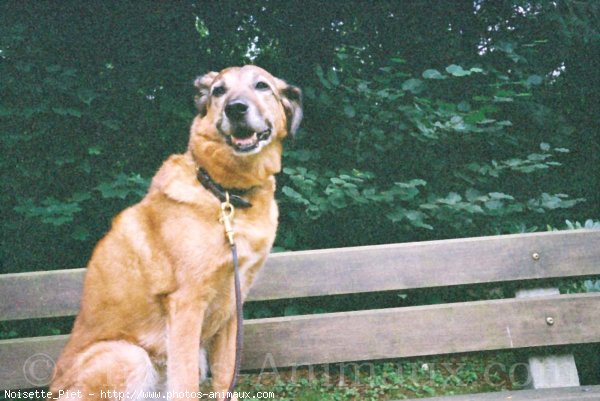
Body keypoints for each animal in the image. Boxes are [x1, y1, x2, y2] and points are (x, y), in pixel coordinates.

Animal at [47, 66, 302, 400]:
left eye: (262, 86)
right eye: (219, 91)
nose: (235, 108)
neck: (225, 193)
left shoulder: (232, 308)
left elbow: (225, 378)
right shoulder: (186, 305)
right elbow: (186, 384)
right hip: (130, 356)